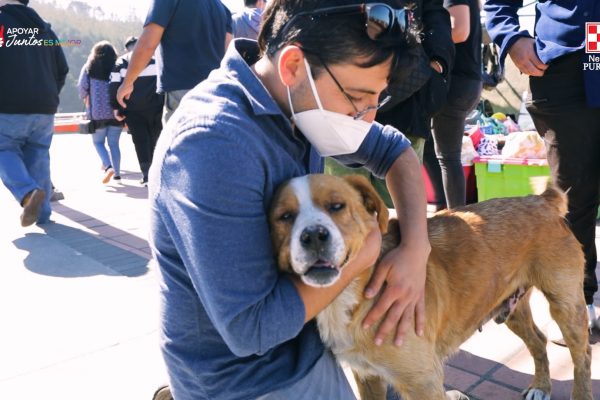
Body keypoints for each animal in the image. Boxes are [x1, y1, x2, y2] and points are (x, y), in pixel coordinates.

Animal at [270, 174, 592, 400]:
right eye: (284, 217)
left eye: (337, 206)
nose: (313, 236)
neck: (354, 295)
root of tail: (540, 200)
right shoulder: (367, 376)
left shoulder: (423, 381)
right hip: (512, 309)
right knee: (538, 340)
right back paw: (541, 386)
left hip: (567, 306)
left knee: (584, 355)